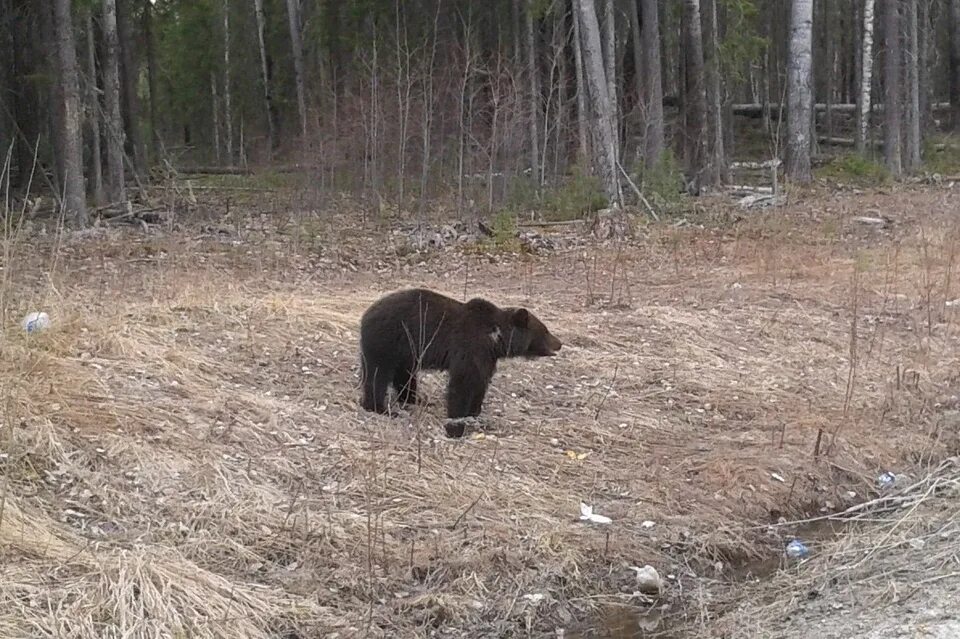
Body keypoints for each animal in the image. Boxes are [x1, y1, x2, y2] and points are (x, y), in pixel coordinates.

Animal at [360, 288, 564, 428]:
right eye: (546, 331)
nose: (560, 343)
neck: (494, 337)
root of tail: (366, 314)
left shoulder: (487, 356)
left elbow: (481, 381)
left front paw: (474, 412)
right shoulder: (469, 346)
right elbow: (463, 381)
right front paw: (457, 421)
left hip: (405, 351)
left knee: (405, 374)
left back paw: (413, 399)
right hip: (387, 342)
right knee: (377, 375)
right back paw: (379, 408)